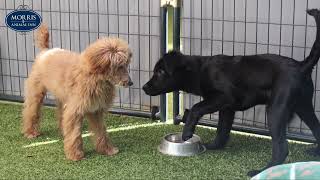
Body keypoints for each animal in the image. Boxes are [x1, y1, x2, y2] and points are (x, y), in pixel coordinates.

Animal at [21, 24, 132, 161]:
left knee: (61, 115)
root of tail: (45, 51)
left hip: (63, 97)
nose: (130, 83)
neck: (95, 77)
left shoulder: (96, 109)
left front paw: (107, 149)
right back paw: (30, 132)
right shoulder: (75, 110)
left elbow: (101, 131)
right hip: (36, 92)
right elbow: (74, 133)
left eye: (126, 64)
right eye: (119, 66)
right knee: (31, 111)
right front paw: (75, 155)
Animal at [144, 9, 320, 176]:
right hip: (304, 107)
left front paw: (187, 133)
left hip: (276, 110)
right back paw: (315, 152)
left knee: (282, 147)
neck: (200, 70)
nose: (144, 87)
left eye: (160, 72)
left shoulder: (223, 98)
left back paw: (263, 170)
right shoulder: (227, 108)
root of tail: (301, 66)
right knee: (316, 127)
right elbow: (222, 130)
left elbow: (195, 108)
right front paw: (212, 146)